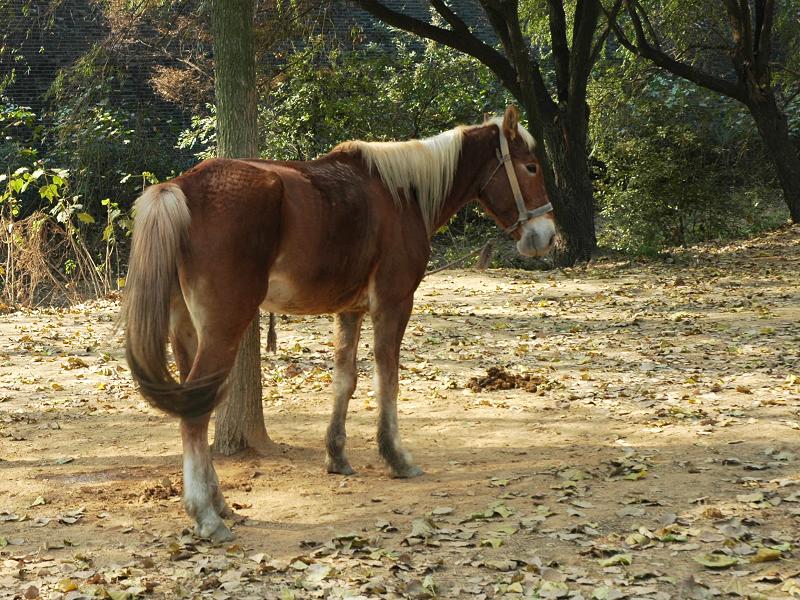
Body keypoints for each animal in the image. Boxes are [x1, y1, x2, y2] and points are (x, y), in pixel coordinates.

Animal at [122, 105, 552, 540]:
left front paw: (337, 455)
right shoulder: (394, 304)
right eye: (531, 166)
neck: (402, 195)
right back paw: (206, 515)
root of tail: (181, 188)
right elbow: (387, 379)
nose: (546, 236)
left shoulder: (350, 311)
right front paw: (396, 457)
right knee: (195, 413)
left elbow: (345, 380)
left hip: (187, 332)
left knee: (196, 403)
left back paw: (219, 503)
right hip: (222, 329)